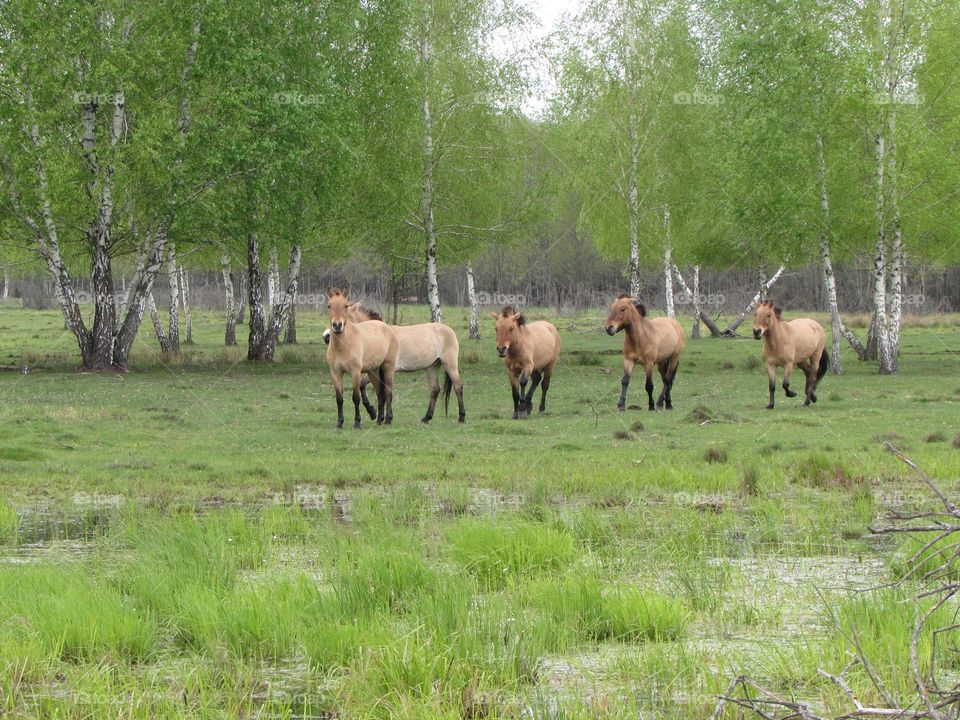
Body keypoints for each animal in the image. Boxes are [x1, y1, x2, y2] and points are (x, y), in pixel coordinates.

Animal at [324, 290, 396, 430]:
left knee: (388, 391)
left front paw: (357, 422)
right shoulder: (335, 373)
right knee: (380, 393)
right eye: (329, 306)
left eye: (346, 306)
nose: (327, 336)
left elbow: (356, 397)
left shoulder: (356, 372)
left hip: (387, 370)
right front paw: (339, 423)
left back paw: (387, 419)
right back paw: (380, 419)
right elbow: (339, 398)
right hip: (374, 371)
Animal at [324, 304, 466, 422]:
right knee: (435, 390)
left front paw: (382, 416)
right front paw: (374, 413)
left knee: (458, 387)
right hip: (432, 367)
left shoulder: (385, 369)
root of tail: (449, 330)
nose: (326, 336)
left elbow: (381, 390)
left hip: (450, 364)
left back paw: (461, 417)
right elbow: (365, 386)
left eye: (345, 316)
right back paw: (426, 418)